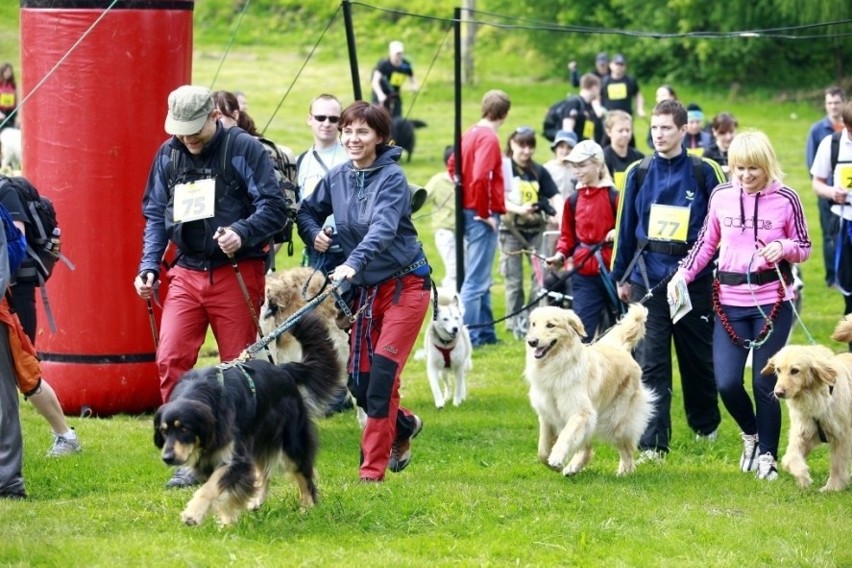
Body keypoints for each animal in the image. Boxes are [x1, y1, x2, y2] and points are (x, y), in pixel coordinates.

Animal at [155, 312, 342, 524]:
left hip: (291, 438)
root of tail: (284, 370)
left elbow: (213, 486)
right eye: (163, 431)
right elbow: (223, 489)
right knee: (263, 472)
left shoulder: (234, 456)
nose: (167, 458)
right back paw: (257, 500)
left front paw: (194, 513)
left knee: (303, 471)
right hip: (259, 437)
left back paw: (307, 506)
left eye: (185, 429)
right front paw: (226, 520)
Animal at [524, 304, 656, 478]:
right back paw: (572, 468)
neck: (556, 365)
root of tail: (618, 347)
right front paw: (555, 465)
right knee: (588, 449)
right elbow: (542, 451)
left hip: (616, 422)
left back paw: (624, 472)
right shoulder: (547, 415)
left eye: (550, 325)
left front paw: (557, 458)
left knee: (627, 450)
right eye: (533, 324)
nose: (532, 342)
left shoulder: (581, 412)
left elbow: (566, 436)